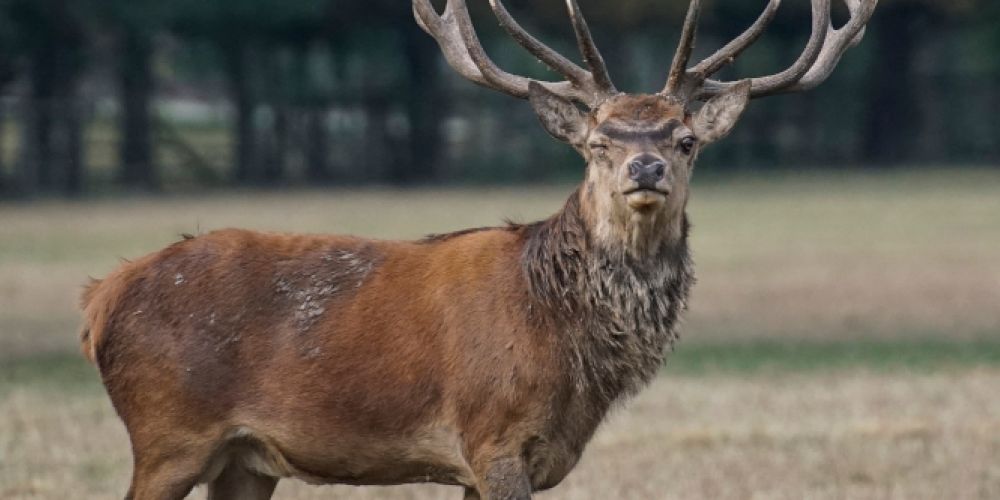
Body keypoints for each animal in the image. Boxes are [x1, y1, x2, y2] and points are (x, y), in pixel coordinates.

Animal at [79, 0, 876, 498]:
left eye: (685, 140)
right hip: (168, 431)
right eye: (598, 142)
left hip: (244, 460)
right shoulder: (492, 438)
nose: (644, 167)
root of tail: (100, 300)